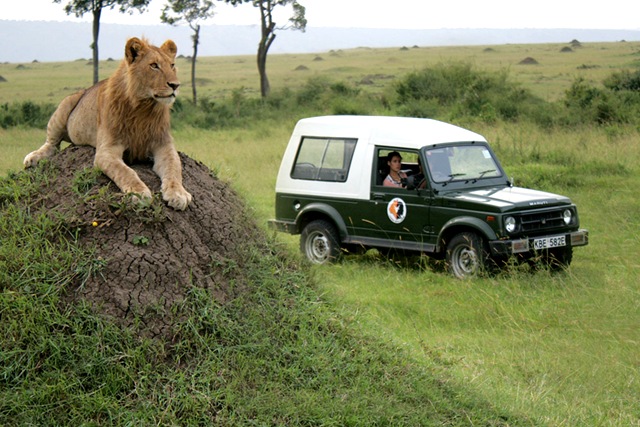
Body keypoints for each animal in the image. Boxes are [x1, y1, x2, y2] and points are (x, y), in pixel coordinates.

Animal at [24, 37, 192, 210]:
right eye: (154, 65)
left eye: (172, 65)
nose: (175, 85)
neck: (144, 108)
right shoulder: (106, 151)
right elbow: (126, 172)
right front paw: (139, 193)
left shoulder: (164, 145)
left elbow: (174, 168)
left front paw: (178, 194)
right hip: (65, 105)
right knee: (52, 144)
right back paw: (33, 158)